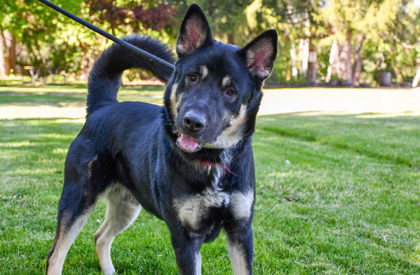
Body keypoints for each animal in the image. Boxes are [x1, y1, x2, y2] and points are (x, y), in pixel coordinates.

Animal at [47, 4, 278, 275]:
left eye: (230, 91)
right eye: (192, 77)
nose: (192, 122)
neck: (212, 161)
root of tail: (102, 106)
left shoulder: (240, 231)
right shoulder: (186, 238)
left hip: (126, 205)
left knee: (100, 236)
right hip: (78, 201)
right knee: (55, 254)